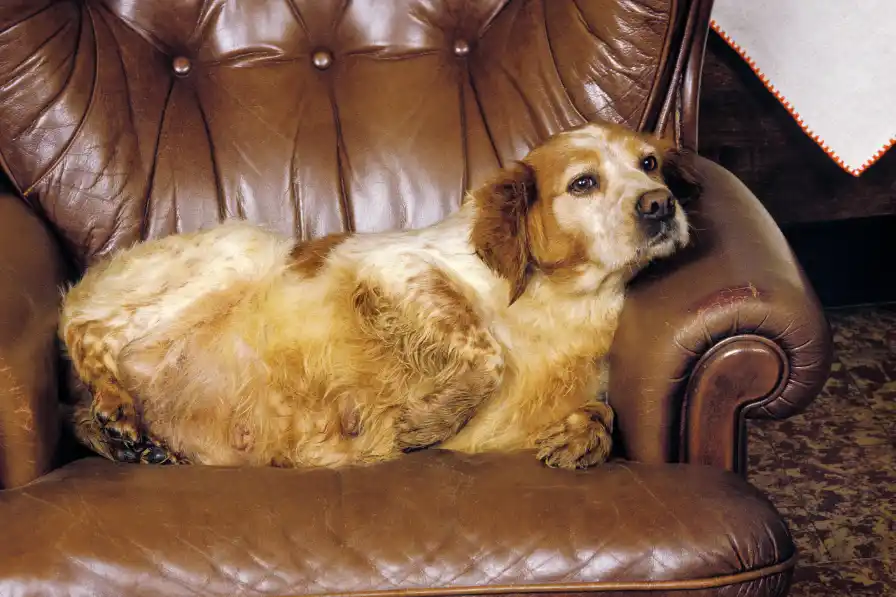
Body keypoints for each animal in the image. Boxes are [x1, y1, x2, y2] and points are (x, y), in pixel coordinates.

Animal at [59, 122, 700, 470]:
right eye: (583, 183)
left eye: (649, 163)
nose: (661, 204)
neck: (561, 304)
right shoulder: (394, 265)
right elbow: (485, 351)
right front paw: (423, 424)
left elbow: (605, 411)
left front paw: (580, 437)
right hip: (248, 243)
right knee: (85, 330)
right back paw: (115, 405)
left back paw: (131, 444)